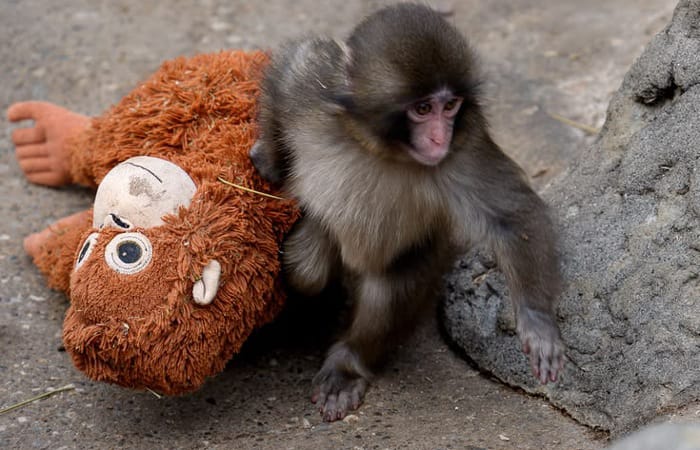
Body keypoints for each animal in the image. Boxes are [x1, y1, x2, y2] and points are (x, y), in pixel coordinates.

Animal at [250, 3, 565, 422]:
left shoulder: (464, 152)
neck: (380, 148)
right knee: (307, 269)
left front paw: (537, 320)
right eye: (422, 109)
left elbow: (511, 218)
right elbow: (293, 65)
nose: (440, 137)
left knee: (390, 286)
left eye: (450, 106)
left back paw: (349, 363)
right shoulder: (314, 97)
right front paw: (269, 156)